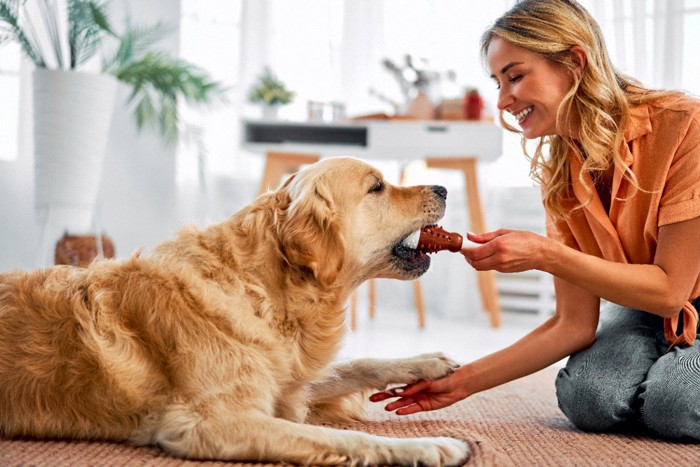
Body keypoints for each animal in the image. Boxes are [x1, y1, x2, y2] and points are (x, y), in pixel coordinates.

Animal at [1, 158, 470, 467]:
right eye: (377, 187)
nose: (445, 189)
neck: (266, 290)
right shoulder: (212, 422)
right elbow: (340, 437)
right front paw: (430, 447)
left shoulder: (284, 378)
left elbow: (356, 364)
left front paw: (425, 362)